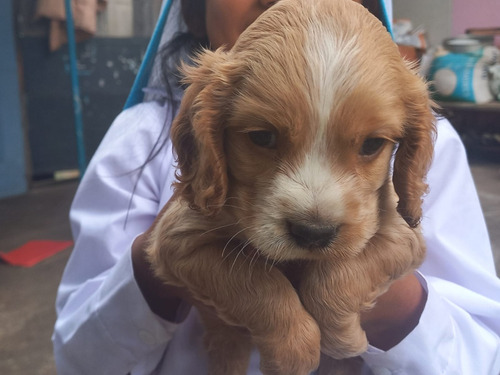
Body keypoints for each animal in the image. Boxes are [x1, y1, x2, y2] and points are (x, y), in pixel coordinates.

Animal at [146, 0, 436, 374]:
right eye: (262, 137)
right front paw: (293, 350)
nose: (313, 233)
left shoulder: (401, 235)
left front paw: (344, 339)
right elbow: (255, 280)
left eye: (372, 144)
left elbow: (341, 273)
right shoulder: (179, 240)